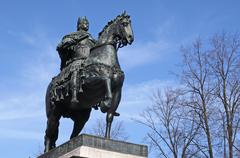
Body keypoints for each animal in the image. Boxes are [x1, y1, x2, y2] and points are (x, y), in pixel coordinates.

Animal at [44, 11, 134, 152]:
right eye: (124, 24)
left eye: (130, 23)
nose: (130, 38)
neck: (104, 58)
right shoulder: (90, 82)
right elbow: (105, 79)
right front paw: (105, 103)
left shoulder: (118, 91)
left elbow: (109, 116)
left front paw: (107, 139)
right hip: (53, 113)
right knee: (49, 133)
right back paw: (48, 151)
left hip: (81, 117)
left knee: (72, 135)